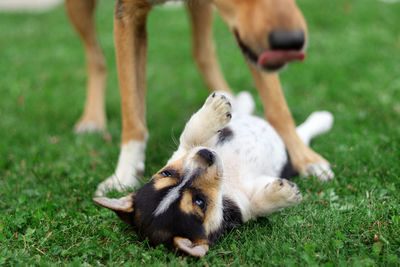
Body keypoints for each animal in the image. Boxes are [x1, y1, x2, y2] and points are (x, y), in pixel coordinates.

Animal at [94, 92, 334, 258]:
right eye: (199, 202)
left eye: (167, 172)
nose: (207, 154)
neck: (225, 186)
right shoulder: (243, 206)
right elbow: (258, 205)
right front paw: (283, 193)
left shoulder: (185, 150)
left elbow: (193, 134)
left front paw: (216, 109)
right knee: (302, 134)